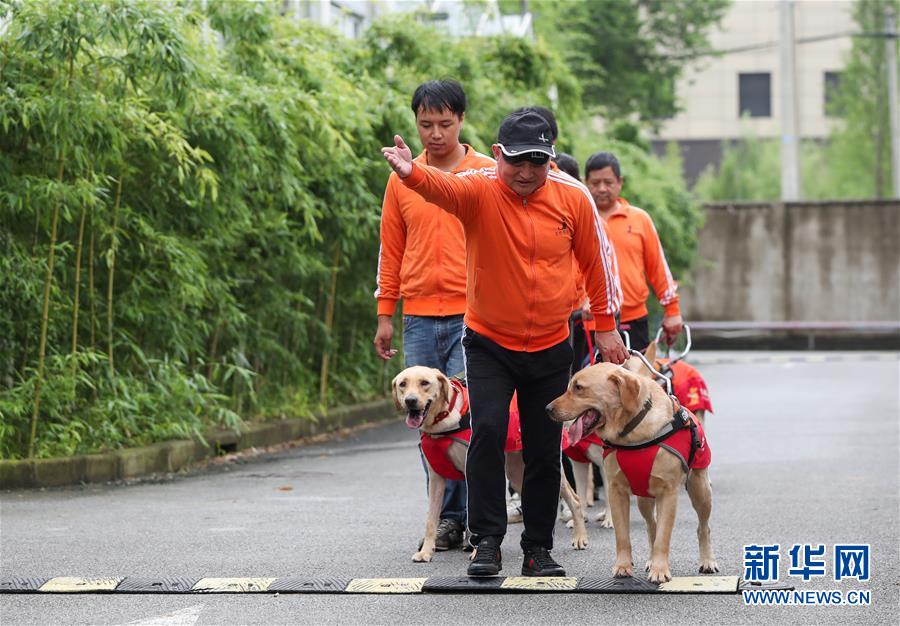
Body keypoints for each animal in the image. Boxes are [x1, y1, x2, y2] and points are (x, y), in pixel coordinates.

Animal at [394, 364, 592, 564]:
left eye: (424, 383)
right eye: (403, 384)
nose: (410, 400)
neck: (442, 423)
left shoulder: (472, 472)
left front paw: (476, 551)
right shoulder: (436, 478)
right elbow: (431, 520)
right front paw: (426, 552)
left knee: (575, 500)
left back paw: (579, 537)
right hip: (515, 472)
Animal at [540, 358, 716, 584]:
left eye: (578, 388)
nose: (547, 408)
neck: (632, 433)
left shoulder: (668, 493)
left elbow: (664, 537)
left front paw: (660, 570)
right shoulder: (616, 490)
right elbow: (623, 535)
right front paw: (623, 566)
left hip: (700, 491)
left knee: (703, 527)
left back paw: (707, 561)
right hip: (643, 499)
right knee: (652, 526)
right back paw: (651, 559)